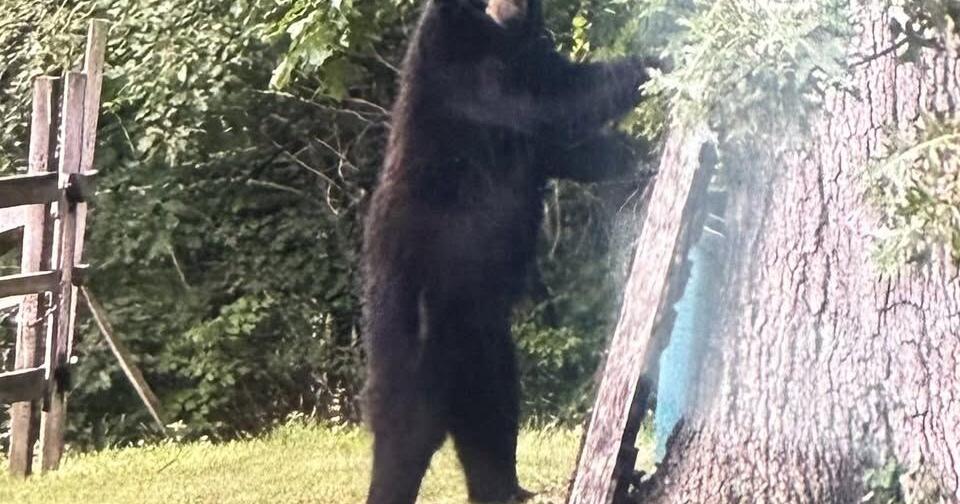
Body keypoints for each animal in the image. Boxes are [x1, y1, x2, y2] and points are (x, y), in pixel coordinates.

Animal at [360, 0, 654, 502]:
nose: (512, 11)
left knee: (493, 427)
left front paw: (636, 151)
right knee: (405, 437)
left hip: (491, 356)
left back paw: (513, 487)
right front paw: (657, 63)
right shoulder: (472, 80)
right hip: (419, 342)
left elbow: (568, 143)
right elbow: (561, 101)